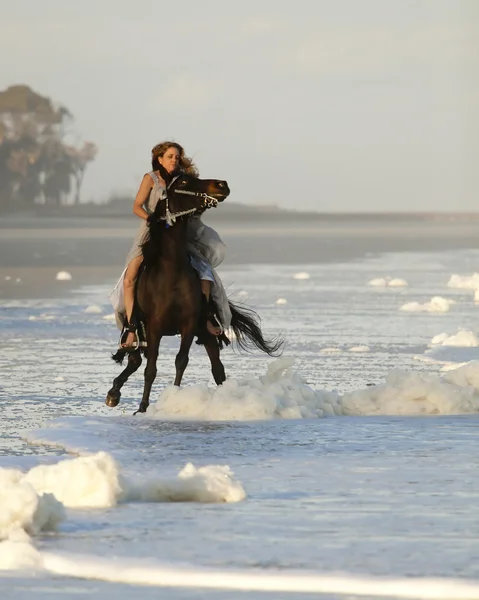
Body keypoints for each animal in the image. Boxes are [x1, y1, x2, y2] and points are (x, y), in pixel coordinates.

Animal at [106, 172, 284, 412]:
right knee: (135, 358)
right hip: (137, 328)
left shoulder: (188, 324)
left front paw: (173, 397)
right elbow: (151, 368)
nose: (222, 185)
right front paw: (143, 407)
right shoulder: (154, 326)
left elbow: (181, 361)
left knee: (218, 369)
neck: (171, 272)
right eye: (182, 181)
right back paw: (113, 393)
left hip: (206, 331)